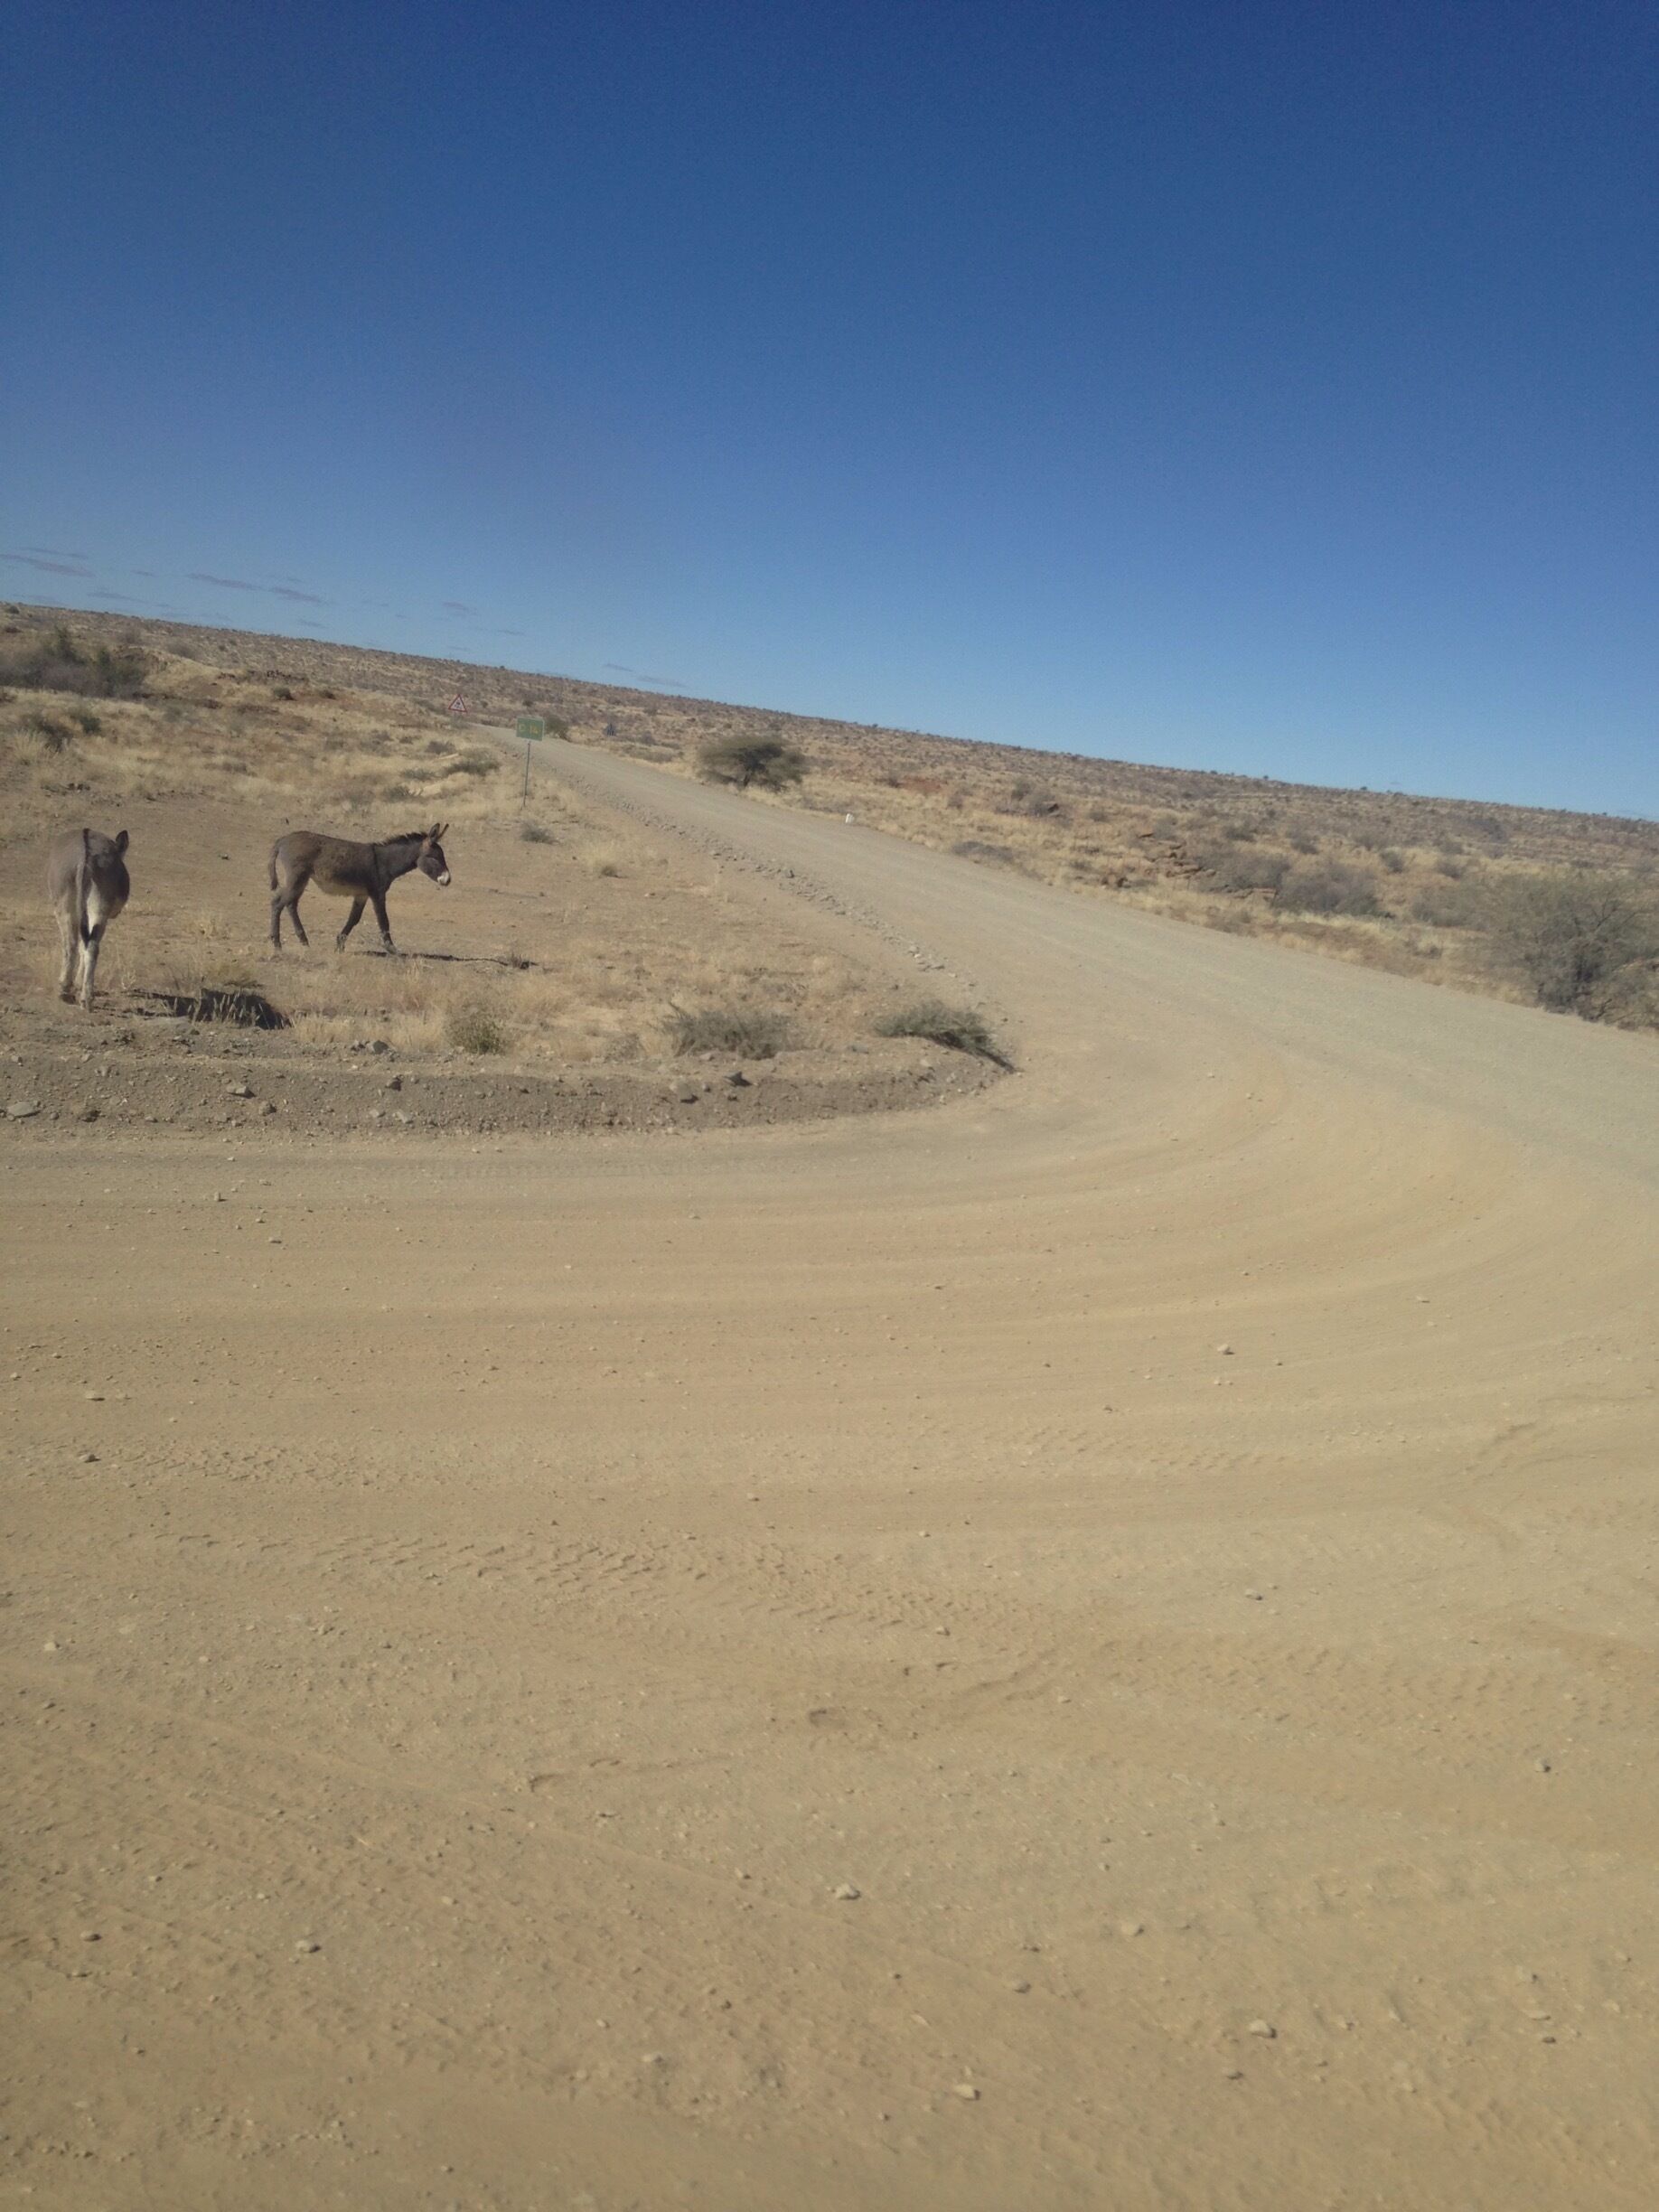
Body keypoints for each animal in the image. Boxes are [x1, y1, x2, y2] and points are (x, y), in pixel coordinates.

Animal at [47, 827, 130, 1011]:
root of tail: (86, 855)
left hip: (67, 909)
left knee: (71, 945)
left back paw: (65, 990)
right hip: (97, 908)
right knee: (91, 946)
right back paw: (86, 997)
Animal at [269, 822, 451, 954]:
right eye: (434, 858)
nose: (448, 879)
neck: (384, 861)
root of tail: (282, 840)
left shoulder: (361, 895)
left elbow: (354, 919)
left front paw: (339, 945)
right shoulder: (377, 893)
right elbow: (383, 920)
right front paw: (392, 948)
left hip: (301, 880)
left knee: (290, 904)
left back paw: (303, 941)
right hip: (297, 878)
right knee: (278, 902)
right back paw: (277, 944)